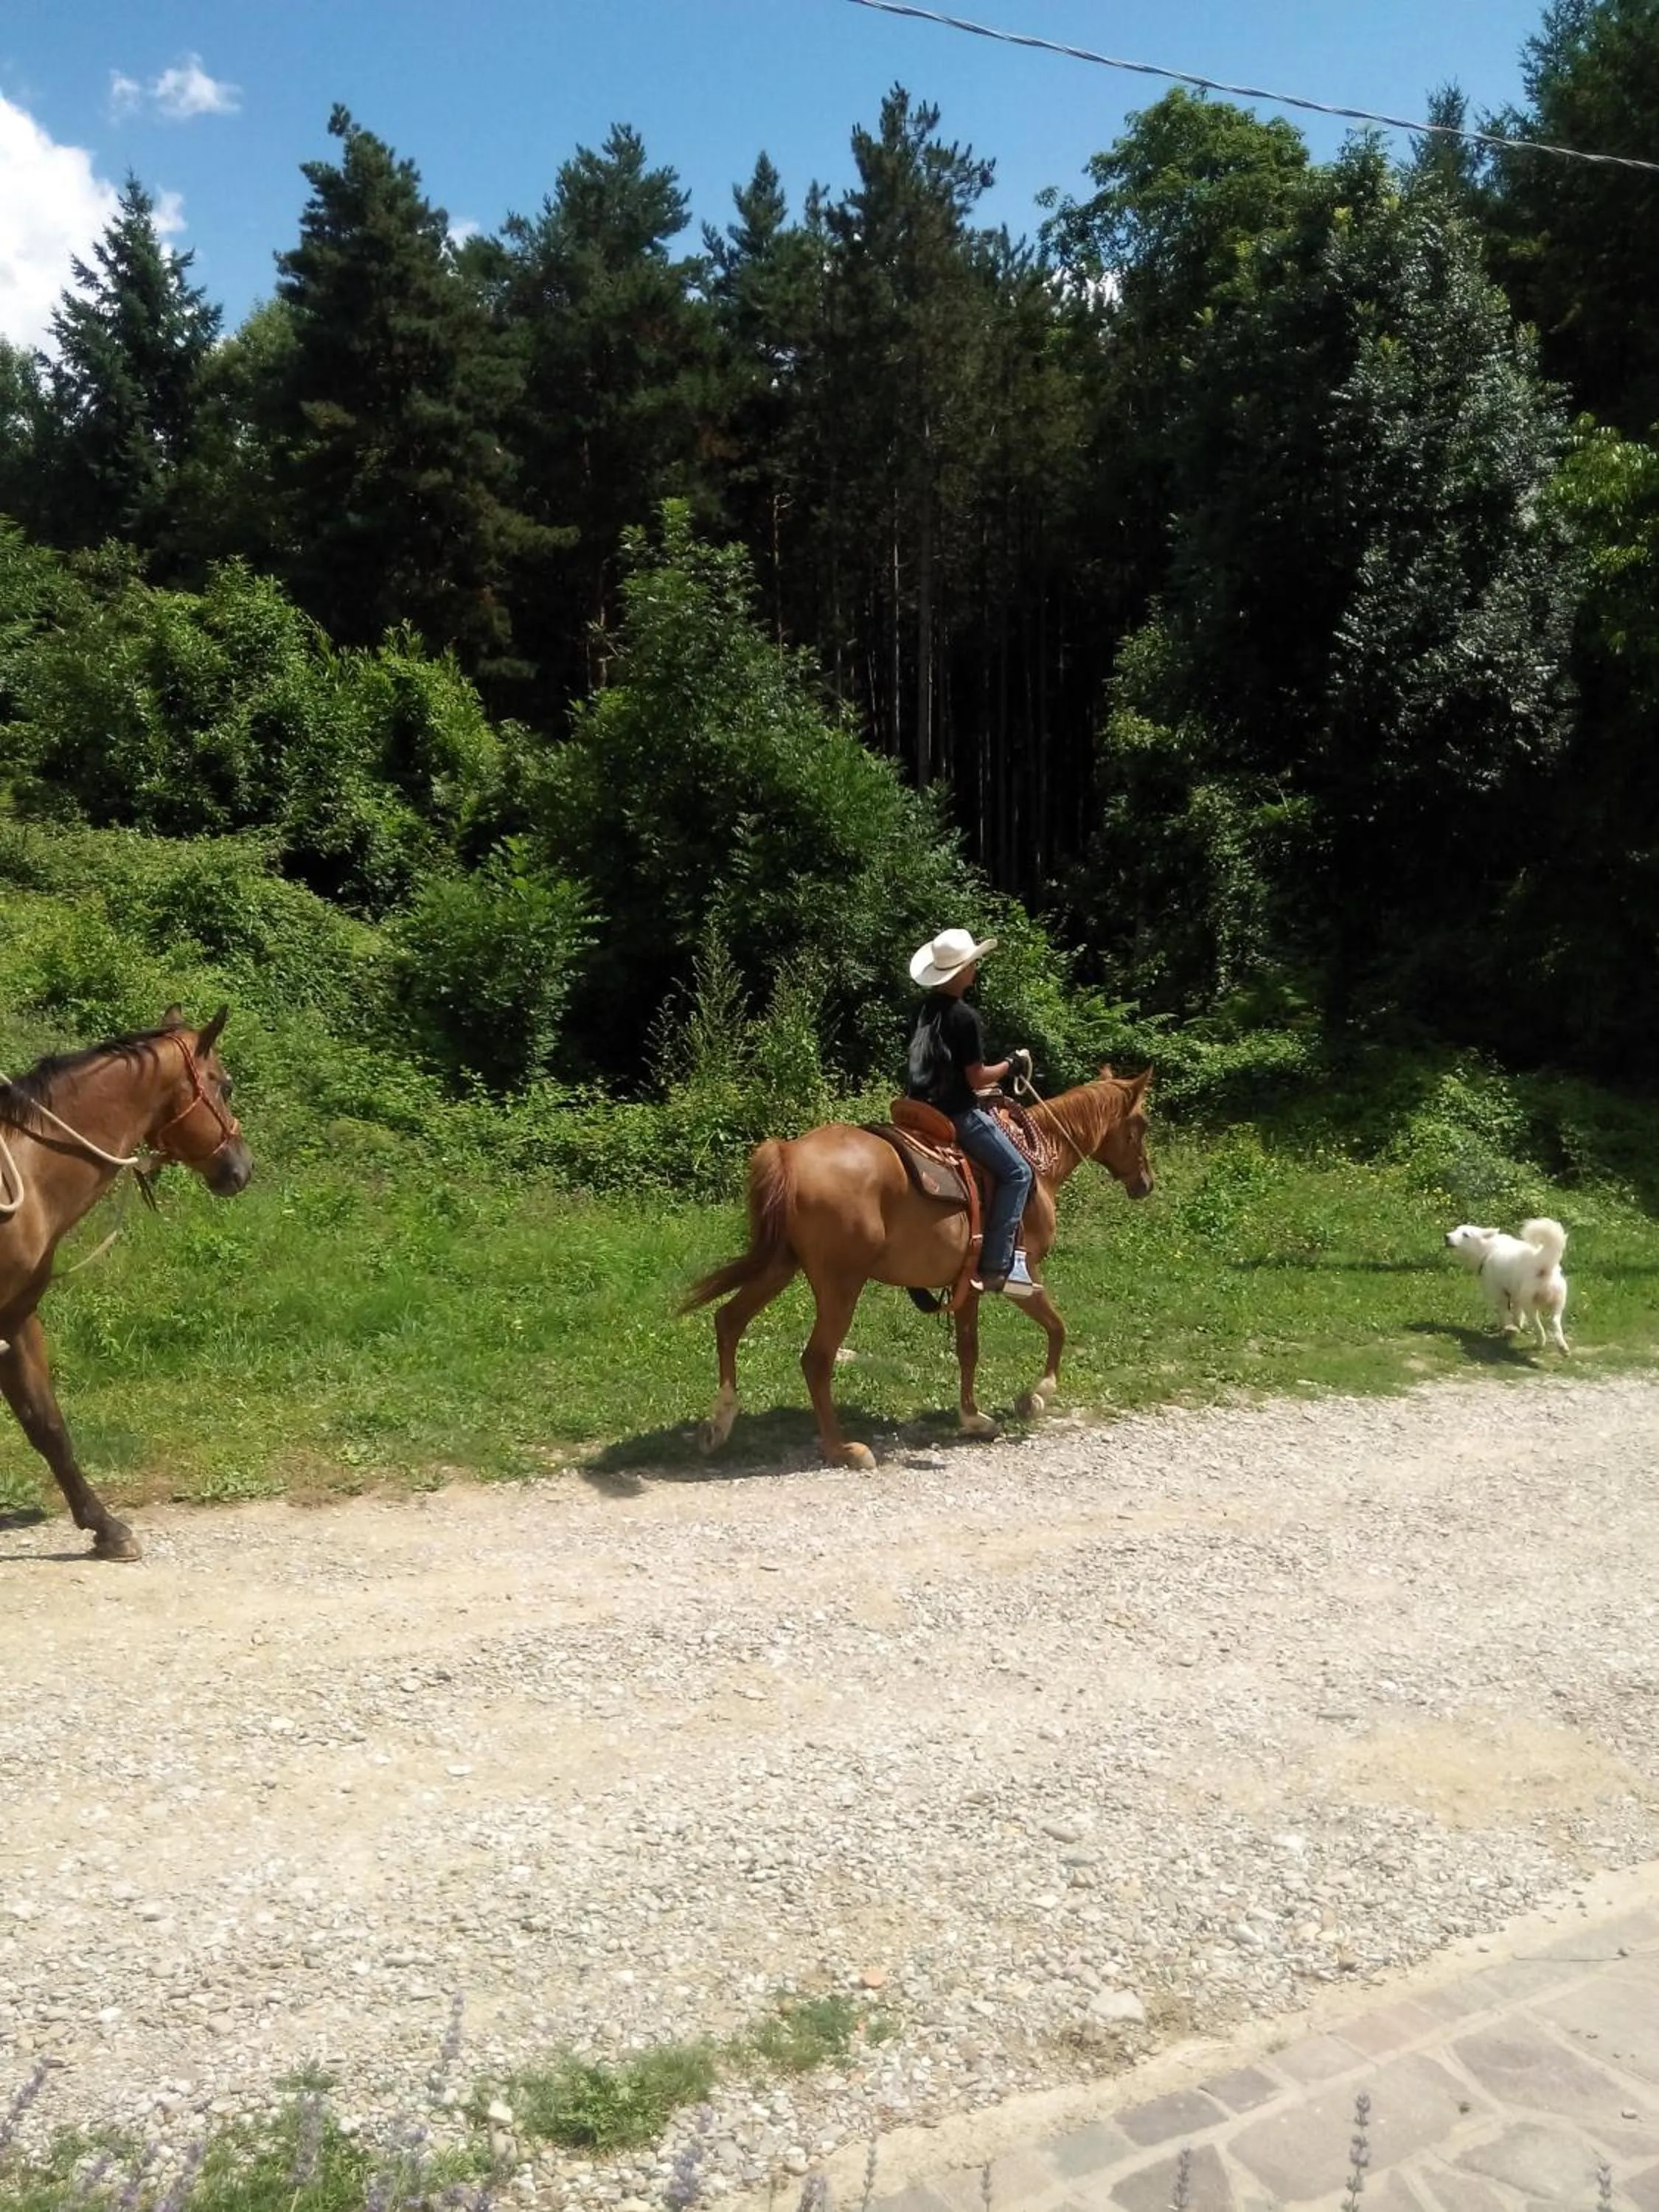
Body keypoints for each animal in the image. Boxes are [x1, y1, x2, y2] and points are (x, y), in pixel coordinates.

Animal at [683, 1066, 1153, 1469]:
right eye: (1142, 1125)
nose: (1146, 1183)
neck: (1038, 1164)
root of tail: (788, 1153)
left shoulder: (969, 1283)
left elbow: (968, 1348)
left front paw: (973, 1418)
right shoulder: (1023, 1273)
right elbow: (1057, 1327)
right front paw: (1037, 1396)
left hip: (781, 1266)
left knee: (729, 1321)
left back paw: (718, 1425)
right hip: (840, 1284)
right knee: (816, 1359)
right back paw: (843, 1449)